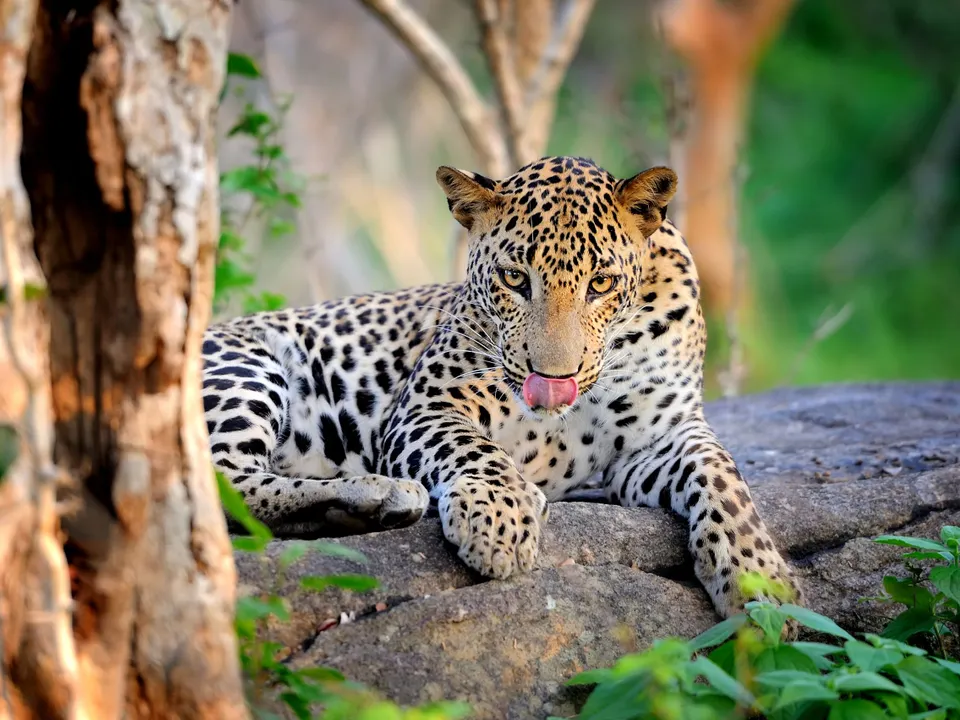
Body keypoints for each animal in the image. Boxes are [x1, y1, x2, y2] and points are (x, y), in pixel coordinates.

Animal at [202, 155, 801, 618]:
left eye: (601, 283)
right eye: (515, 279)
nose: (554, 379)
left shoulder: (661, 436)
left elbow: (722, 475)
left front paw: (760, 579)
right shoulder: (427, 407)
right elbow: (474, 448)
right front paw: (499, 517)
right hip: (246, 366)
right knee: (224, 484)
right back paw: (378, 494)